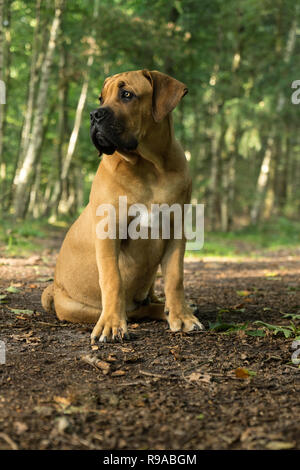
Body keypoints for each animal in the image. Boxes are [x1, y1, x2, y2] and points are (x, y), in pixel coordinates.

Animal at [41, 68, 204, 344]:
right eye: (100, 98)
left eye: (127, 94)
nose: (94, 114)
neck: (148, 166)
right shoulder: (109, 231)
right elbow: (112, 279)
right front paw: (111, 325)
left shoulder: (176, 229)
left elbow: (174, 277)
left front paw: (181, 316)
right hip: (77, 306)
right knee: (134, 310)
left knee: (147, 300)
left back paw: (172, 308)